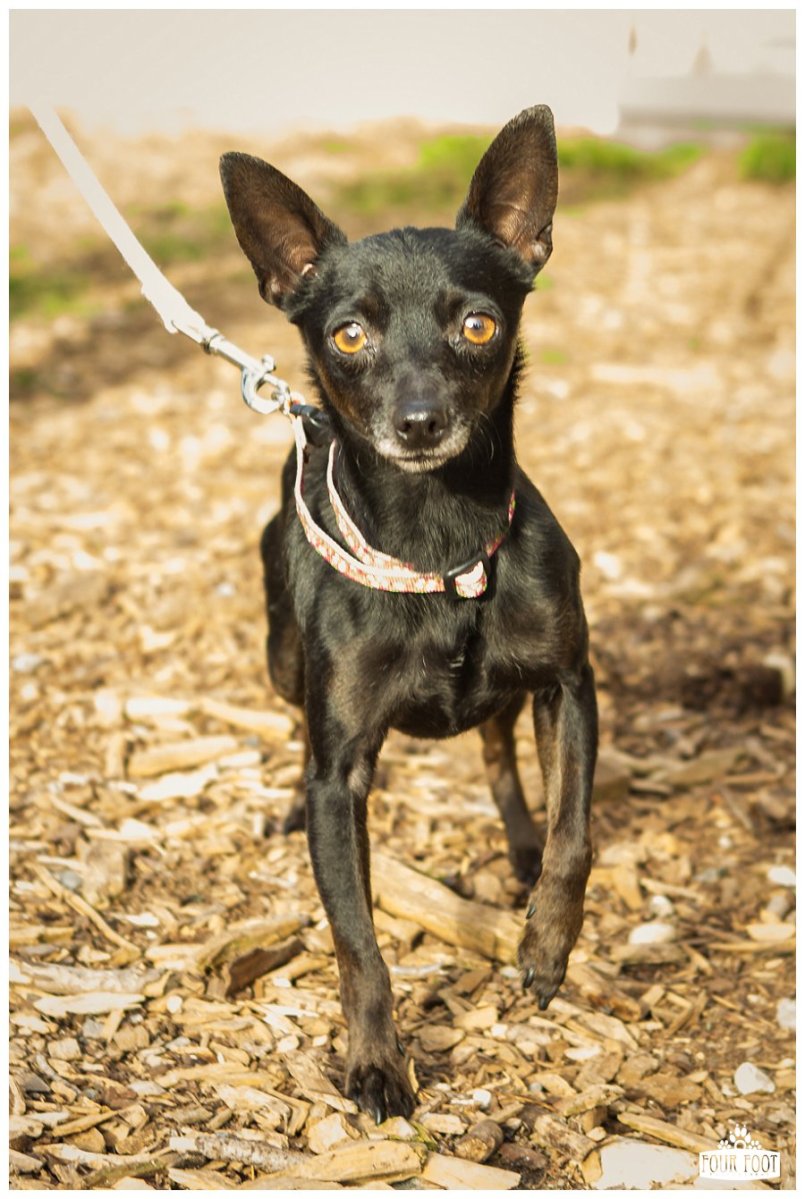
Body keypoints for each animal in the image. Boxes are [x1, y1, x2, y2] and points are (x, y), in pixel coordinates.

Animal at [220, 105, 597, 1123]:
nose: (420, 421)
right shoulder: (343, 771)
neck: (441, 545)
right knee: (296, 719)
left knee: (499, 747)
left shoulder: (568, 684)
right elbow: (358, 941)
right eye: (348, 336)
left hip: (511, 689)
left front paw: (544, 943)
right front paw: (378, 1064)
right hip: (281, 657)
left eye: (478, 323)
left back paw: (516, 845)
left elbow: (576, 831)